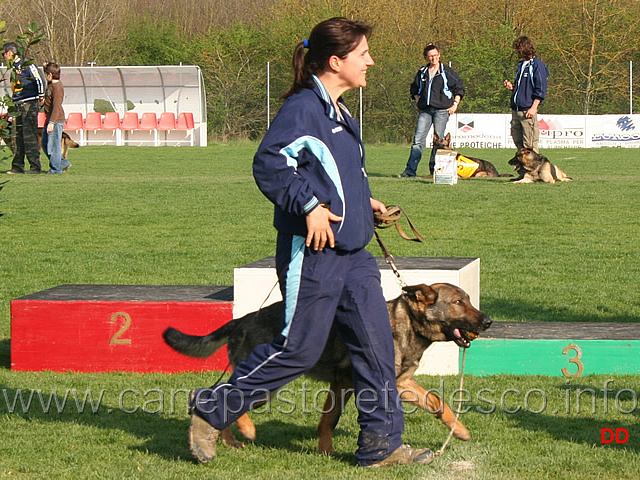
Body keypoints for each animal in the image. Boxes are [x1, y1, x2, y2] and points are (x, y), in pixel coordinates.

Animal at [162, 284, 492, 456]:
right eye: (458, 302)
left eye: (469, 299)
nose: (488, 322)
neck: (406, 325)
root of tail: (241, 319)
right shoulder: (352, 382)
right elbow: (330, 420)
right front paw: (328, 451)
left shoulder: (398, 383)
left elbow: (436, 401)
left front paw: (460, 430)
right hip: (268, 384)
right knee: (224, 395)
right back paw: (242, 431)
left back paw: (227, 441)